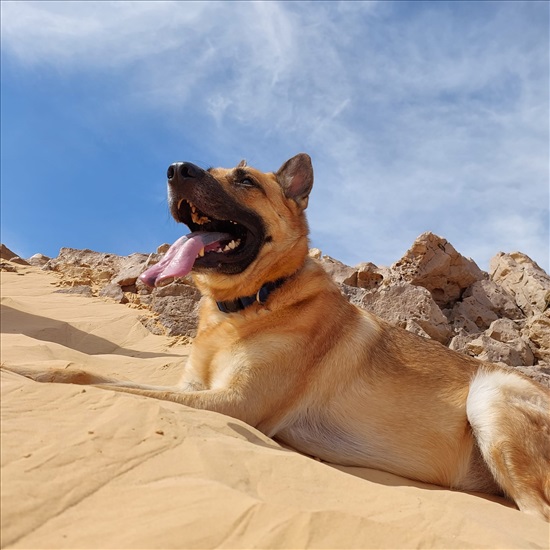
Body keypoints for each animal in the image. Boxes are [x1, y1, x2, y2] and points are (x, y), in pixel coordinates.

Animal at [3, 154, 548, 520]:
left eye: (245, 180)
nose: (175, 168)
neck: (253, 302)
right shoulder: (197, 390)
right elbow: (110, 377)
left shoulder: (235, 405)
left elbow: (89, 374)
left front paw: (27, 369)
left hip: (490, 396)